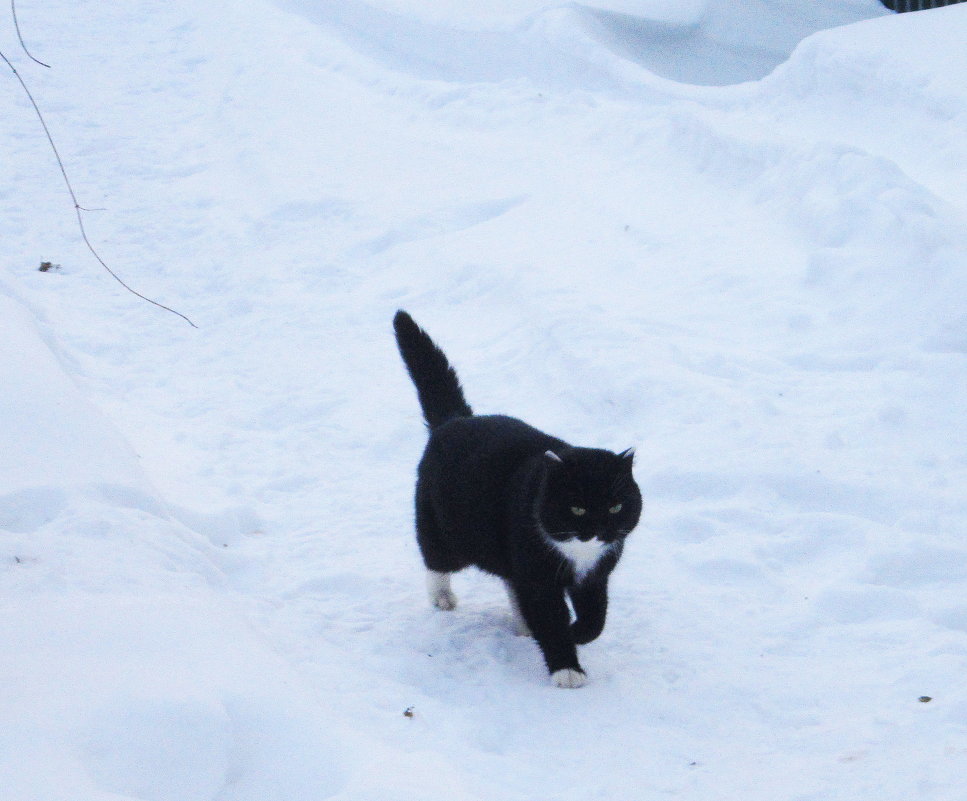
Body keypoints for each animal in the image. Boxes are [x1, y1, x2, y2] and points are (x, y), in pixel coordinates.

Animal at [394, 310, 644, 688]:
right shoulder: (538, 573)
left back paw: (524, 624)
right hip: (445, 526)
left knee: (511, 583)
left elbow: (596, 616)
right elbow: (550, 618)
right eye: (577, 508)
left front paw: (579, 632)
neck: (576, 553)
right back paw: (443, 597)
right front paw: (567, 668)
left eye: (616, 506)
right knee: (436, 558)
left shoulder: (595, 575)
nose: (601, 529)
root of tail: (455, 420)